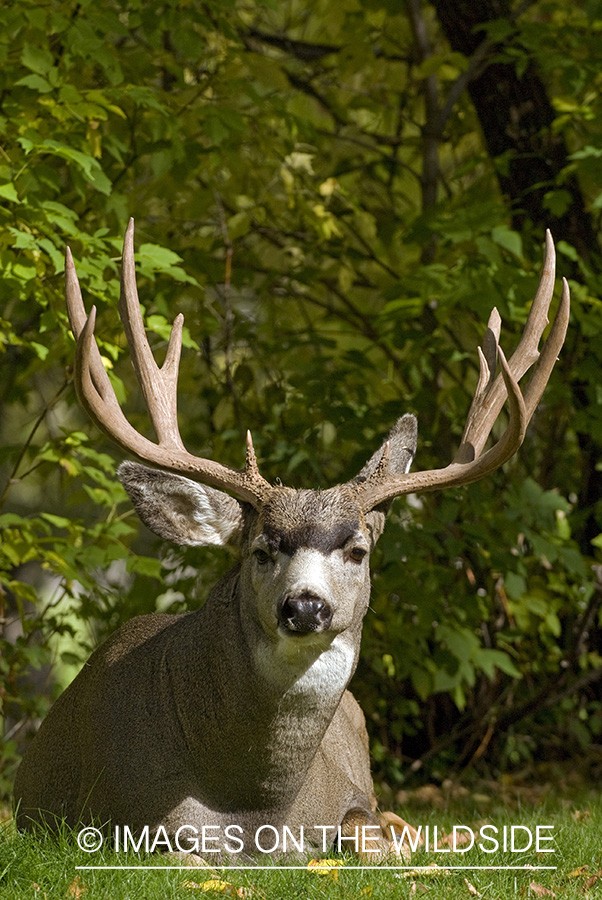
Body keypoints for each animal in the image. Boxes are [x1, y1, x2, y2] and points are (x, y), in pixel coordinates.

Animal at [14, 220, 569, 862]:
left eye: (358, 550)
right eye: (261, 549)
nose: (305, 606)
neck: (257, 808)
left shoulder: (351, 800)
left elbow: (373, 836)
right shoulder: (121, 824)